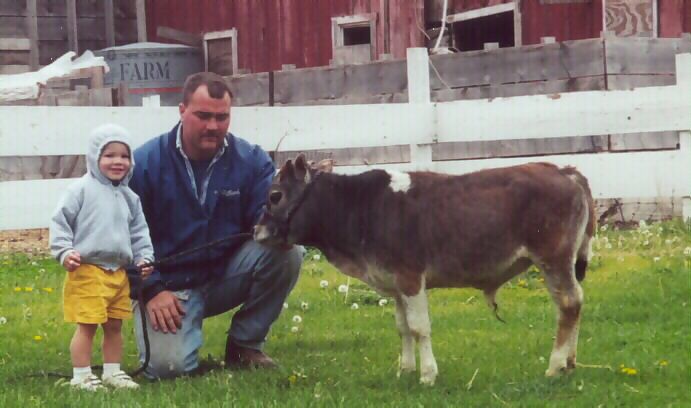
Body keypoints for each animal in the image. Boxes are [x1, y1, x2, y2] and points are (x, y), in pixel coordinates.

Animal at [254, 154, 596, 385]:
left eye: (275, 195)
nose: (257, 230)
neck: (364, 207)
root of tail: (565, 170)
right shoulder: (394, 284)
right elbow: (403, 327)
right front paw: (405, 369)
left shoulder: (410, 278)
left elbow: (419, 327)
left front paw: (428, 374)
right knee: (573, 305)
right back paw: (570, 362)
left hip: (554, 259)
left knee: (569, 304)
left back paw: (555, 365)